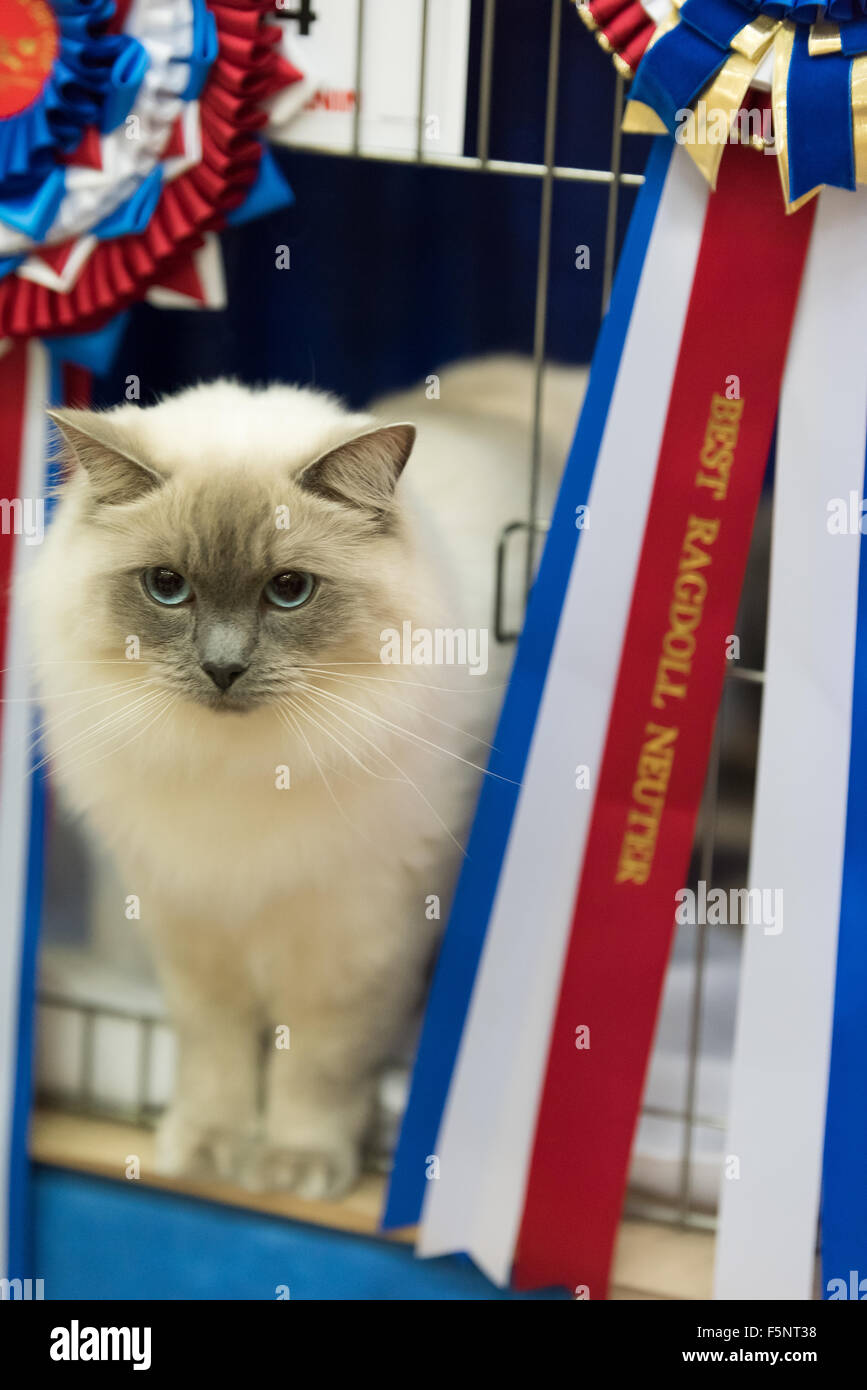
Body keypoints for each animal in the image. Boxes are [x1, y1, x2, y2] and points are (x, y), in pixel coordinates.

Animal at [28, 355, 583, 1195]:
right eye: (166, 586)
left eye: (288, 591)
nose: (222, 669)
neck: (241, 774)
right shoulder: (191, 925)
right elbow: (216, 1054)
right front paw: (209, 1153)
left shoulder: (354, 938)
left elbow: (317, 1067)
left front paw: (295, 1168)